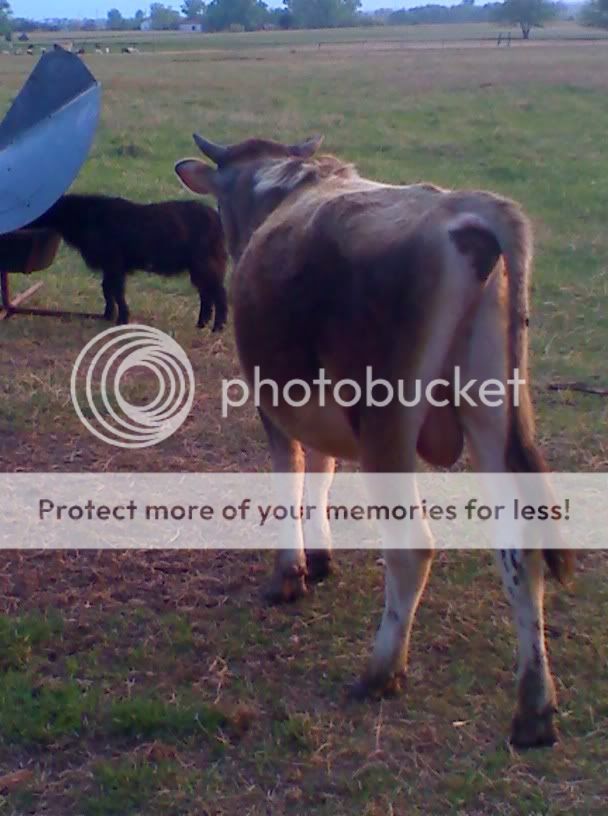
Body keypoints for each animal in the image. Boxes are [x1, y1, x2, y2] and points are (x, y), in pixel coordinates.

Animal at [175, 134, 574, 748]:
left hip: (388, 420)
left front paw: (289, 574)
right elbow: (320, 474)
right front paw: (319, 559)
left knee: (412, 547)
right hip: (492, 412)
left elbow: (290, 478)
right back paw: (533, 708)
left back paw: (381, 672)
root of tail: (468, 208)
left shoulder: (272, 401)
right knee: (520, 546)